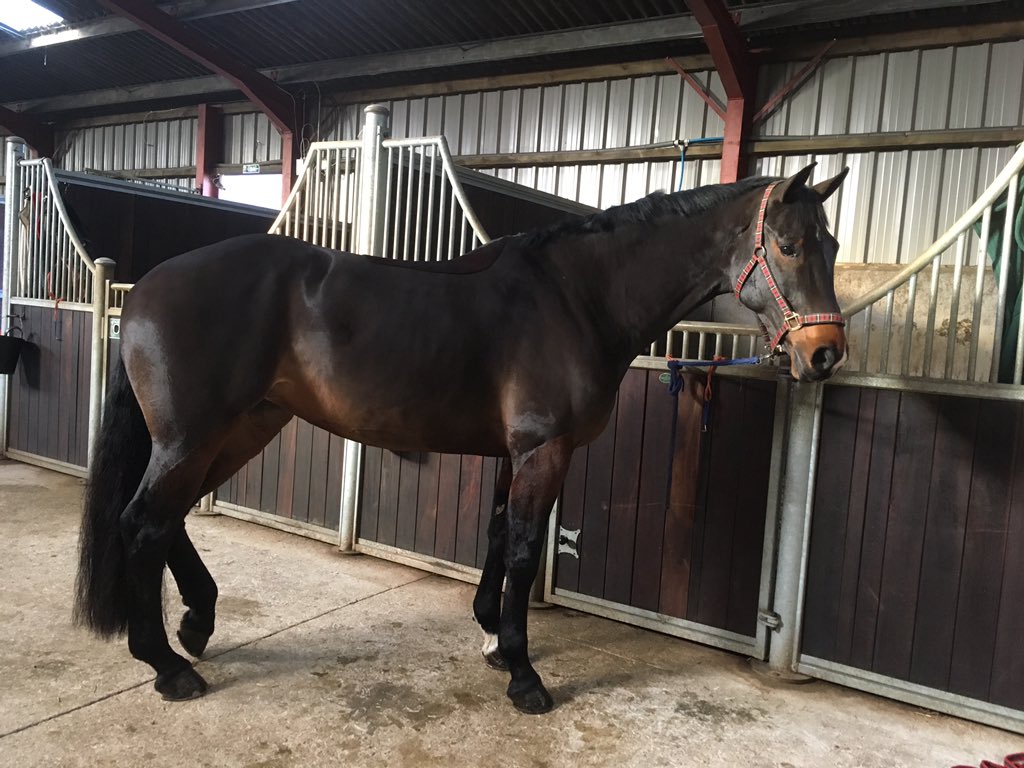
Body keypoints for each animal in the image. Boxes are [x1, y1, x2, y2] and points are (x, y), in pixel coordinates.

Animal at [75, 163, 849, 715]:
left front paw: (492, 638)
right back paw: (167, 666)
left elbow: (498, 534)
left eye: (833, 245)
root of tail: (144, 292)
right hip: (196, 436)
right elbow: (526, 550)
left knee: (168, 520)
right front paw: (525, 676)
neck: (575, 297)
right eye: (788, 245)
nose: (825, 355)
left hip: (242, 427)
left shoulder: (517, 454)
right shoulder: (545, 450)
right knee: (143, 522)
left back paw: (196, 626)